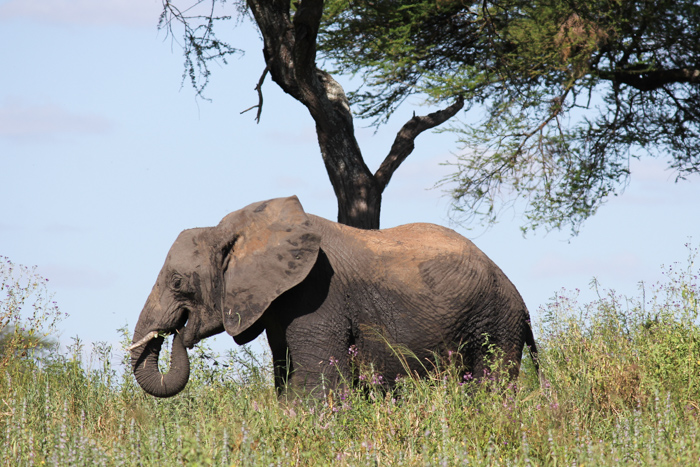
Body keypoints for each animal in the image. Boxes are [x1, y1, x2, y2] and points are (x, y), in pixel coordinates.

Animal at [129, 197, 540, 398]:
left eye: (178, 282)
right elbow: (287, 376)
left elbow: (315, 381)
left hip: (496, 320)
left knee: (491, 383)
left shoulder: (316, 295)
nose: (178, 333)